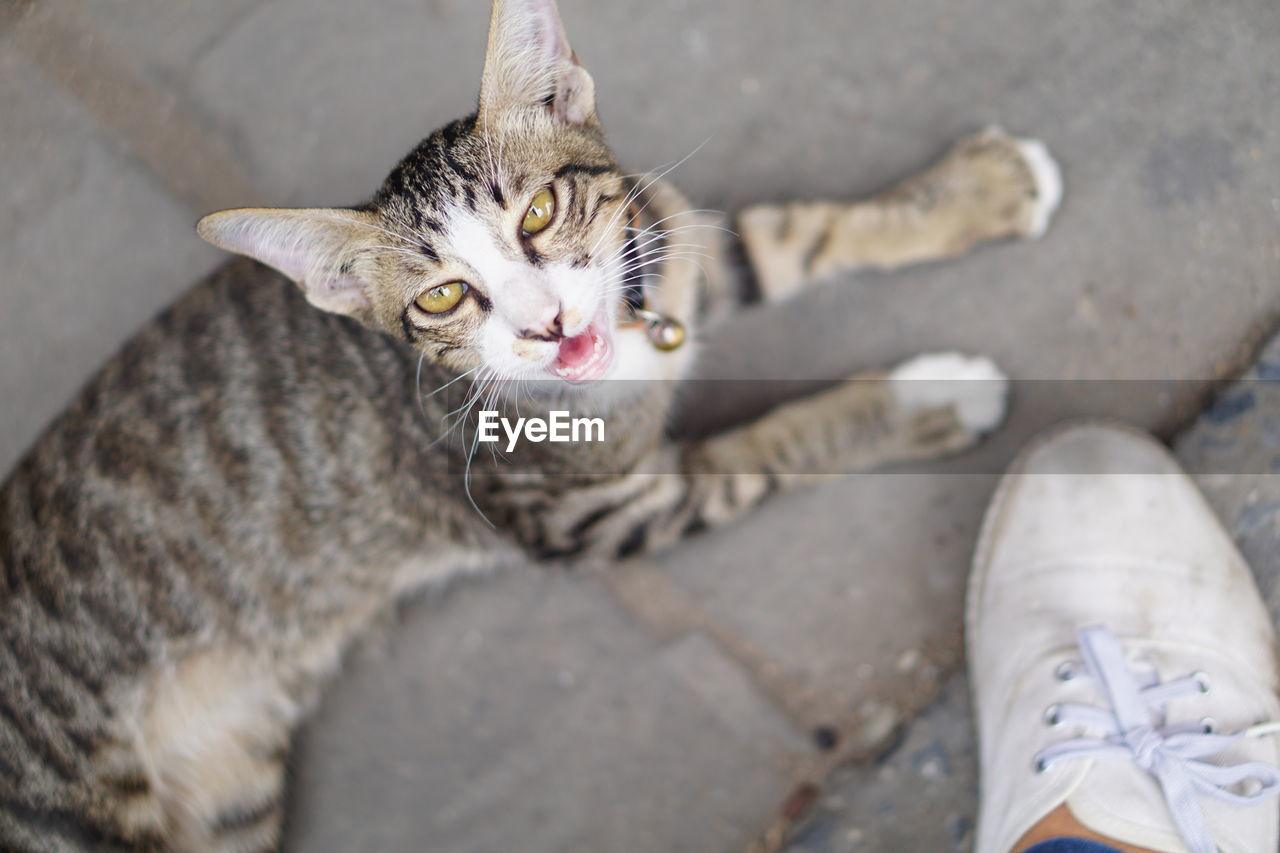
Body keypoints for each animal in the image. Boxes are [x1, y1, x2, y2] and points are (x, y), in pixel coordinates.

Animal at [0, 3, 1059, 845]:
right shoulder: (598, 515)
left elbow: (788, 234)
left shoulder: (659, 247)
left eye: (543, 211)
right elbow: (772, 447)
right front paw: (929, 398)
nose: (546, 323)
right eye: (440, 298)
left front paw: (970, 193)